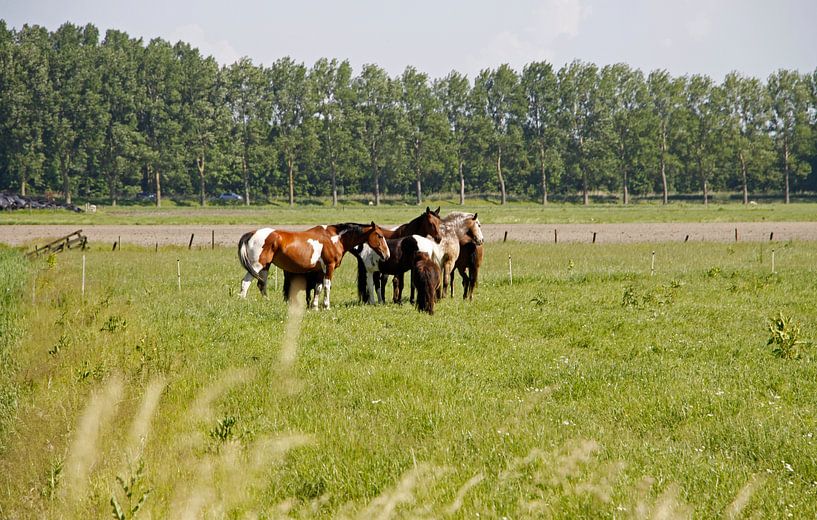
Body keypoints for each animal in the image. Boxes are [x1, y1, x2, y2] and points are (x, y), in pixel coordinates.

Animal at [238, 222, 389, 309]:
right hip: (257, 265)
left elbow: (318, 288)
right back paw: (242, 302)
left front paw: (315, 306)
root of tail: (252, 233)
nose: (387, 255)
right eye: (379, 235)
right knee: (245, 282)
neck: (335, 238)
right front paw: (326, 306)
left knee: (261, 284)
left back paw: (266, 302)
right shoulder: (329, 267)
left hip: (265, 266)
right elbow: (327, 286)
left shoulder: (320, 270)